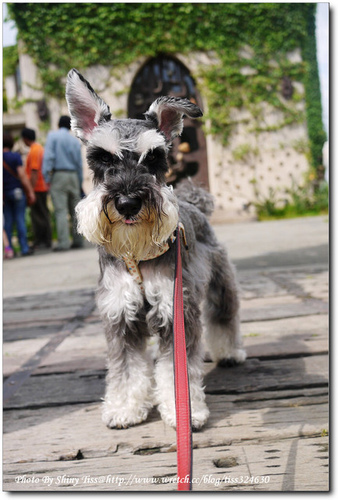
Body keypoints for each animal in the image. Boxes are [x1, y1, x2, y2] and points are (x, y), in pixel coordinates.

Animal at [66, 69, 246, 430]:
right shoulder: (119, 314)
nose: (127, 202)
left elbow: (177, 369)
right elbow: (126, 368)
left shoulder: (177, 310)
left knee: (224, 315)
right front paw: (124, 408)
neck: (136, 255)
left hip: (220, 283)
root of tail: (194, 204)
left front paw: (185, 413)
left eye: (154, 158)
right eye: (101, 158)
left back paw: (230, 352)